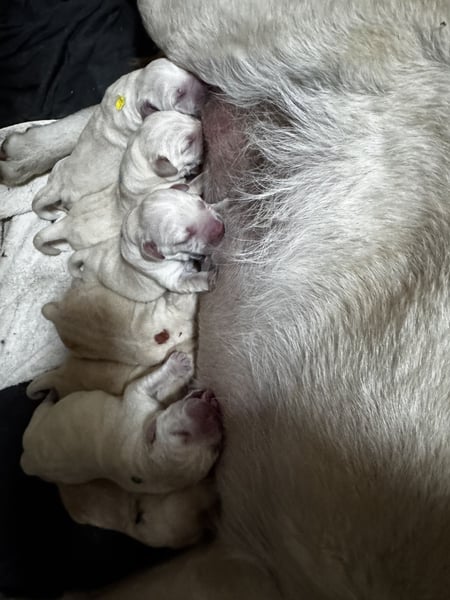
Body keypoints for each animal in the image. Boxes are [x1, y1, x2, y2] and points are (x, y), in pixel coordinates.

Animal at [21, 352, 222, 494]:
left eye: (215, 450)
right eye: (181, 434)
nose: (212, 415)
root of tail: (28, 462)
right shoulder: (138, 396)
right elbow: (150, 381)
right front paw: (179, 364)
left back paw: (50, 394)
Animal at [29, 59, 206, 220]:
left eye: (189, 73)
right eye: (179, 93)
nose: (207, 92)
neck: (135, 91)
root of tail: (58, 187)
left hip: (58, 167)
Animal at [68, 188, 224, 300]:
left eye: (202, 203)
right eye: (183, 240)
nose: (219, 229)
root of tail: (87, 253)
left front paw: (224, 204)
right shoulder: (173, 279)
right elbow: (193, 280)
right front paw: (209, 278)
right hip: (90, 276)